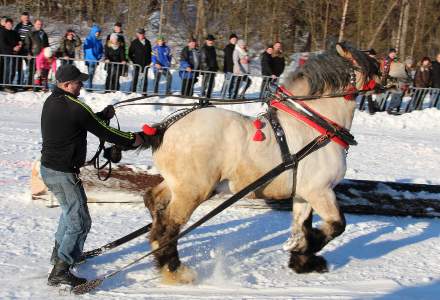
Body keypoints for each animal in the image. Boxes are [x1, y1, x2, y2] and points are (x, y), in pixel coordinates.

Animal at [140, 42, 378, 284]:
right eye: (373, 61)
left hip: (176, 184)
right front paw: (306, 249)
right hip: (193, 190)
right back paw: (175, 270)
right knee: (170, 227)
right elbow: (337, 225)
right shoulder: (321, 191)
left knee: (154, 205)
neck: (316, 128)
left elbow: (302, 225)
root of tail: (165, 128)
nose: (390, 74)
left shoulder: (304, 193)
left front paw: (301, 257)